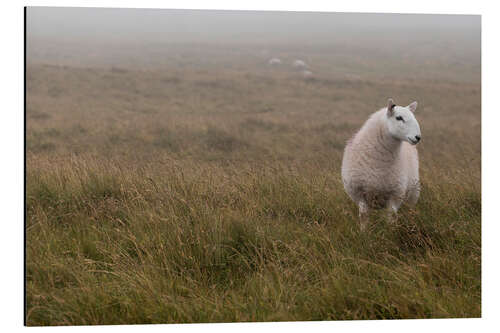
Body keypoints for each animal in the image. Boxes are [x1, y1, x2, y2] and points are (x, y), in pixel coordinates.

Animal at [340, 97, 422, 230]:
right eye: (399, 118)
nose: (418, 137)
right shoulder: (359, 192)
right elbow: (363, 215)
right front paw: (364, 232)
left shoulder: (395, 194)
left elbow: (390, 216)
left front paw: (389, 231)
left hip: (413, 194)